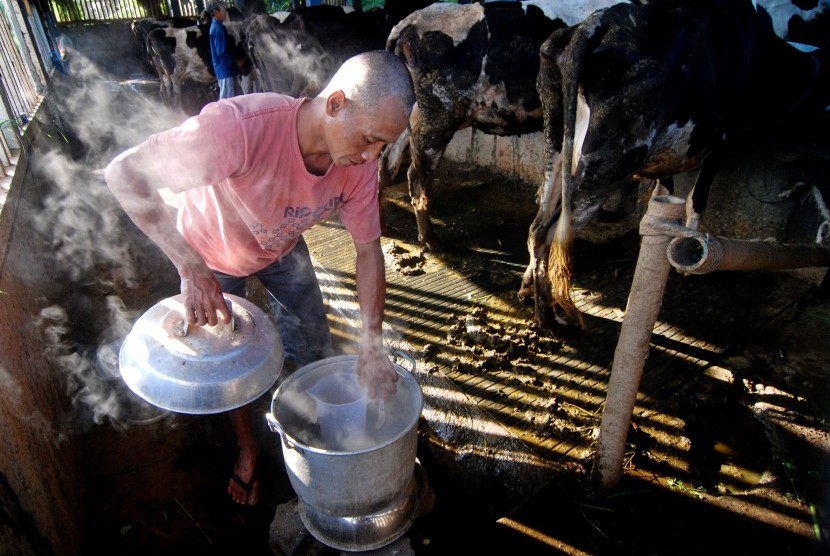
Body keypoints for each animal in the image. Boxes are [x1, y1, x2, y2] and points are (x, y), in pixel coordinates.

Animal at [524, 0, 828, 328]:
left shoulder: (665, 157)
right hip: (612, 158)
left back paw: (530, 290)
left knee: (538, 221)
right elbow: (697, 197)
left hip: (557, 136)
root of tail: (594, 24)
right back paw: (551, 314)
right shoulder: (722, 144)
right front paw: (690, 251)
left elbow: (664, 191)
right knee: (553, 230)